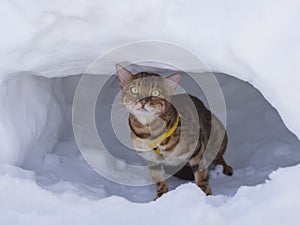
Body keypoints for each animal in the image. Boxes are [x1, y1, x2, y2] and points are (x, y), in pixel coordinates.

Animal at [116, 64, 233, 199]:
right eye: (134, 90)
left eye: (156, 92)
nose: (143, 100)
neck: (150, 133)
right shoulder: (151, 160)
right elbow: (159, 180)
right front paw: (161, 196)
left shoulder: (197, 149)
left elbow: (202, 176)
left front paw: (205, 195)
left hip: (218, 132)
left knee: (218, 156)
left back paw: (225, 167)